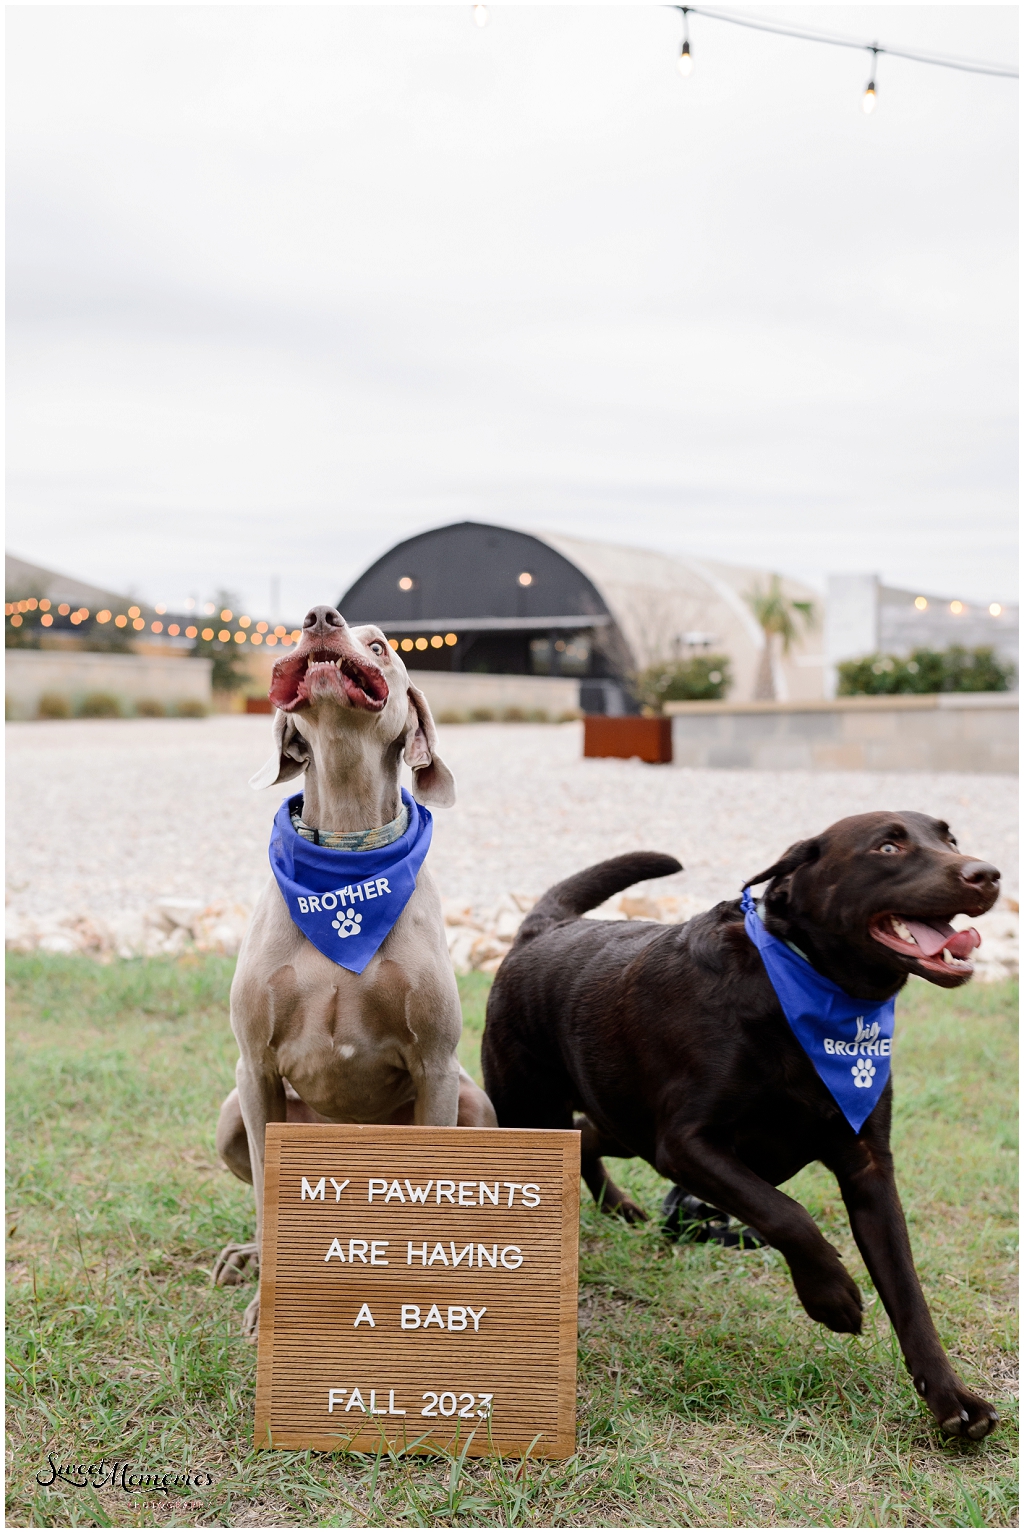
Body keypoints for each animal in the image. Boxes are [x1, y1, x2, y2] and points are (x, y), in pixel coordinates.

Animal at [213, 604, 496, 1336]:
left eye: (382, 646)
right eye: (303, 626)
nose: (319, 616)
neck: (345, 856)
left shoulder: (436, 1066)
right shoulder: (254, 1068)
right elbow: (267, 1195)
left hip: (474, 1103)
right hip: (229, 1115)